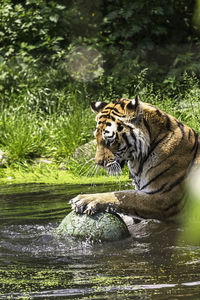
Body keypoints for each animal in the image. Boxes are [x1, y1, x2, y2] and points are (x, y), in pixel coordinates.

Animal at [69, 96, 200, 220]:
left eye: (110, 140)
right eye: (96, 138)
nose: (98, 162)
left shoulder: (164, 199)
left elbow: (126, 196)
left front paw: (84, 200)